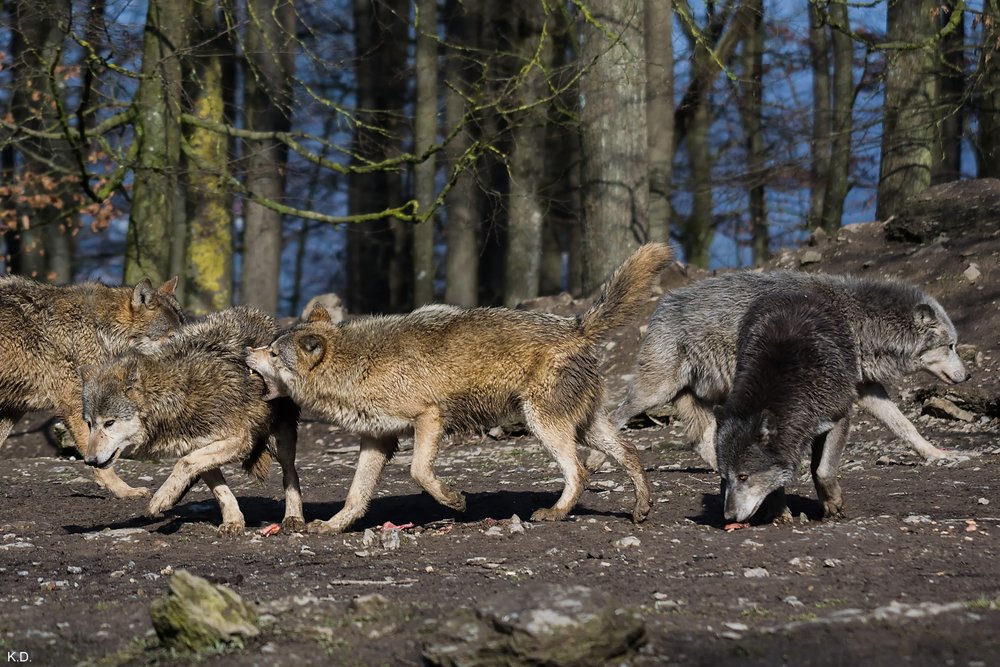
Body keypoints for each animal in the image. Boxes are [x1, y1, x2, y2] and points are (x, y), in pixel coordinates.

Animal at [0, 275, 184, 498]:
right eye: (172, 337)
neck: (101, 332)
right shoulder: (77, 406)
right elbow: (100, 459)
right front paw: (124, 491)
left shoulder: (12, 409)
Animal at [81, 306, 302, 535]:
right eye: (89, 424)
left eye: (109, 423)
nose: (89, 461)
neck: (178, 393)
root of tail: (259, 314)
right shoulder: (198, 446)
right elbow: (219, 489)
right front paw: (233, 521)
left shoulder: (239, 440)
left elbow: (183, 463)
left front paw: (160, 499)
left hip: (281, 440)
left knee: (290, 474)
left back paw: (294, 517)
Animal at [246, 243, 673, 534]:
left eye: (273, 352)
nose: (248, 351)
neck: (354, 365)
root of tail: (575, 325)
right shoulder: (376, 440)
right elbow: (356, 495)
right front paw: (333, 526)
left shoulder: (429, 416)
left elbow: (419, 471)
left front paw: (453, 500)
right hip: (583, 426)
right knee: (628, 451)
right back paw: (641, 508)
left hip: (543, 424)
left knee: (580, 471)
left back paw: (553, 513)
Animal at [598, 271, 968, 470]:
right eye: (951, 346)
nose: (968, 377)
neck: (858, 321)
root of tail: (662, 303)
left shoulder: (865, 389)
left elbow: (906, 426)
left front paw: (936, 454)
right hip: (655, 391)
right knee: (614, 417)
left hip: (703, 394)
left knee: (700, 439)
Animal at [716, 290, 858, 524]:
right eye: (725, 478)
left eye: (743, 476)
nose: (729, 516)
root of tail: (792, 292)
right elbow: (777, 479)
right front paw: (778, 512)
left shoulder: (840, 416)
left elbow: (824, 471)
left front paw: (834, 505)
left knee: (817, 467)